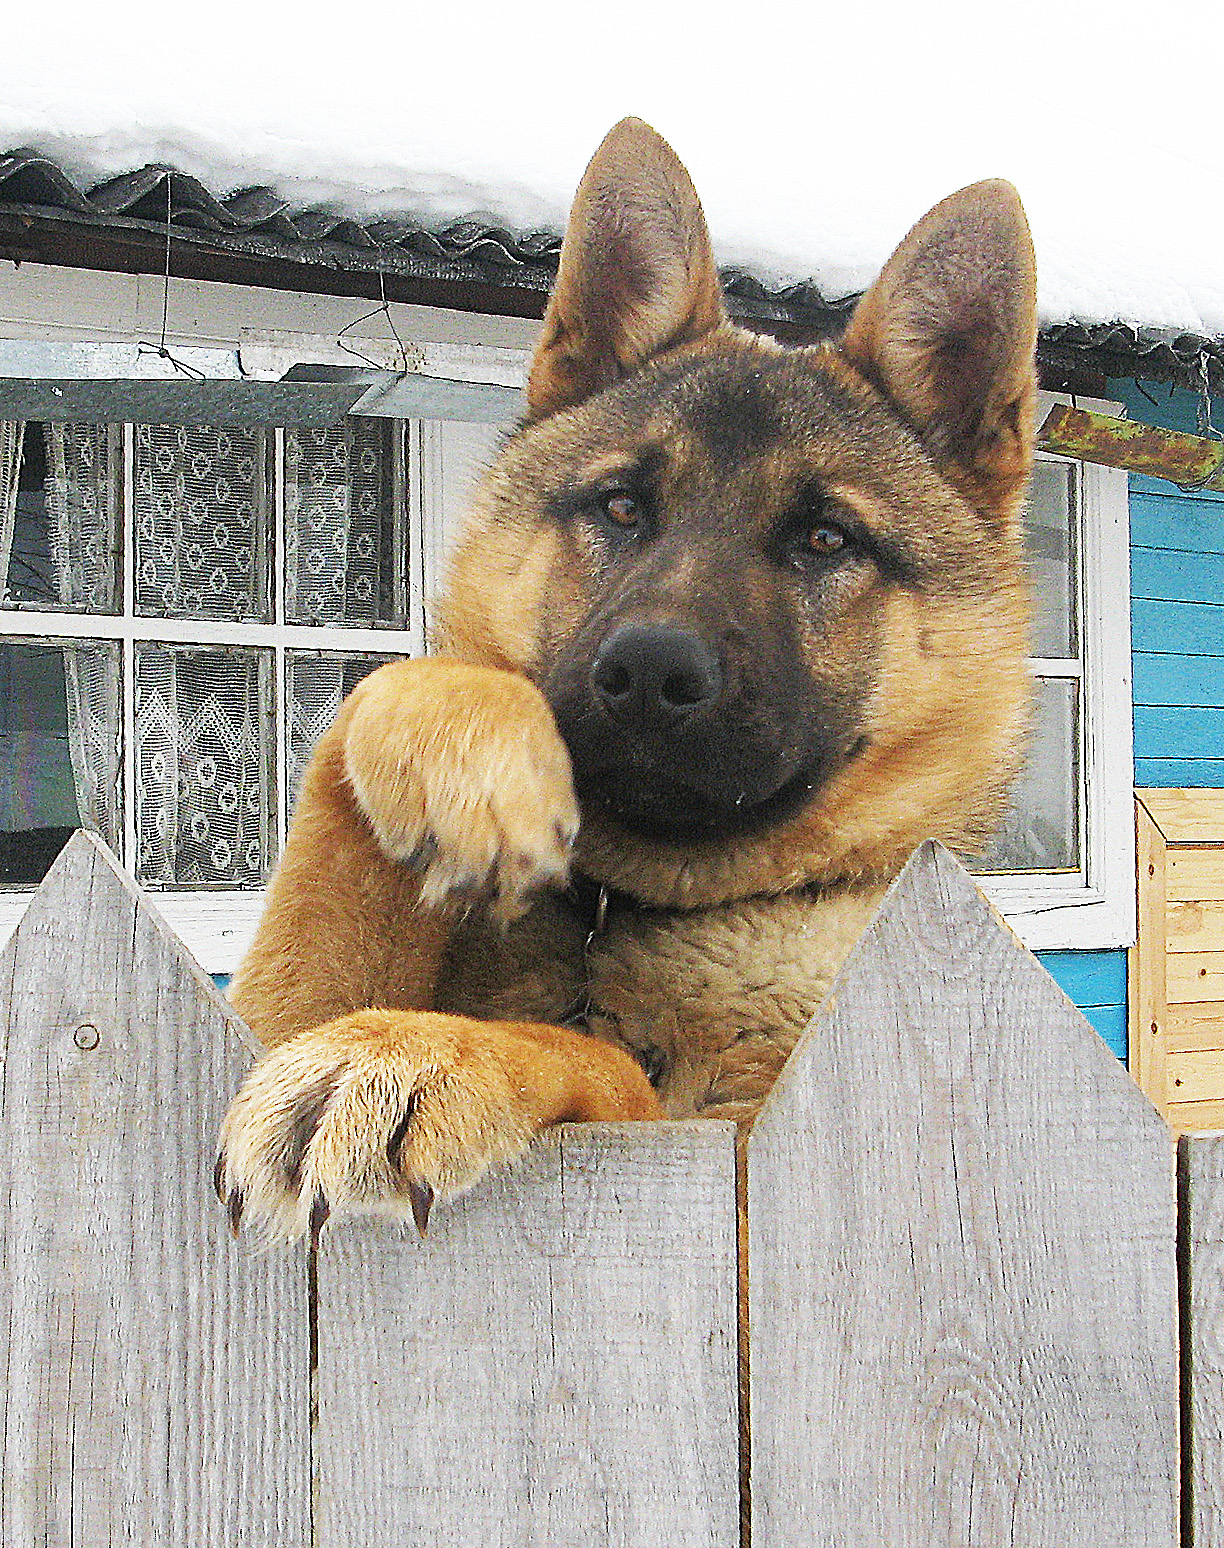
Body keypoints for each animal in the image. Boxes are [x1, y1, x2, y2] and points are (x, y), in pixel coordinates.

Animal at [218, 120, 1033, 1238]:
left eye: (826, 538)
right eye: (621, 506)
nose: (650, 668)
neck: (640, 911)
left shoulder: (751, 1154)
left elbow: (603, 1064)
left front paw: (419, 1049)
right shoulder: (269, 1007)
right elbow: (375, 721)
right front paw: (471, 764)